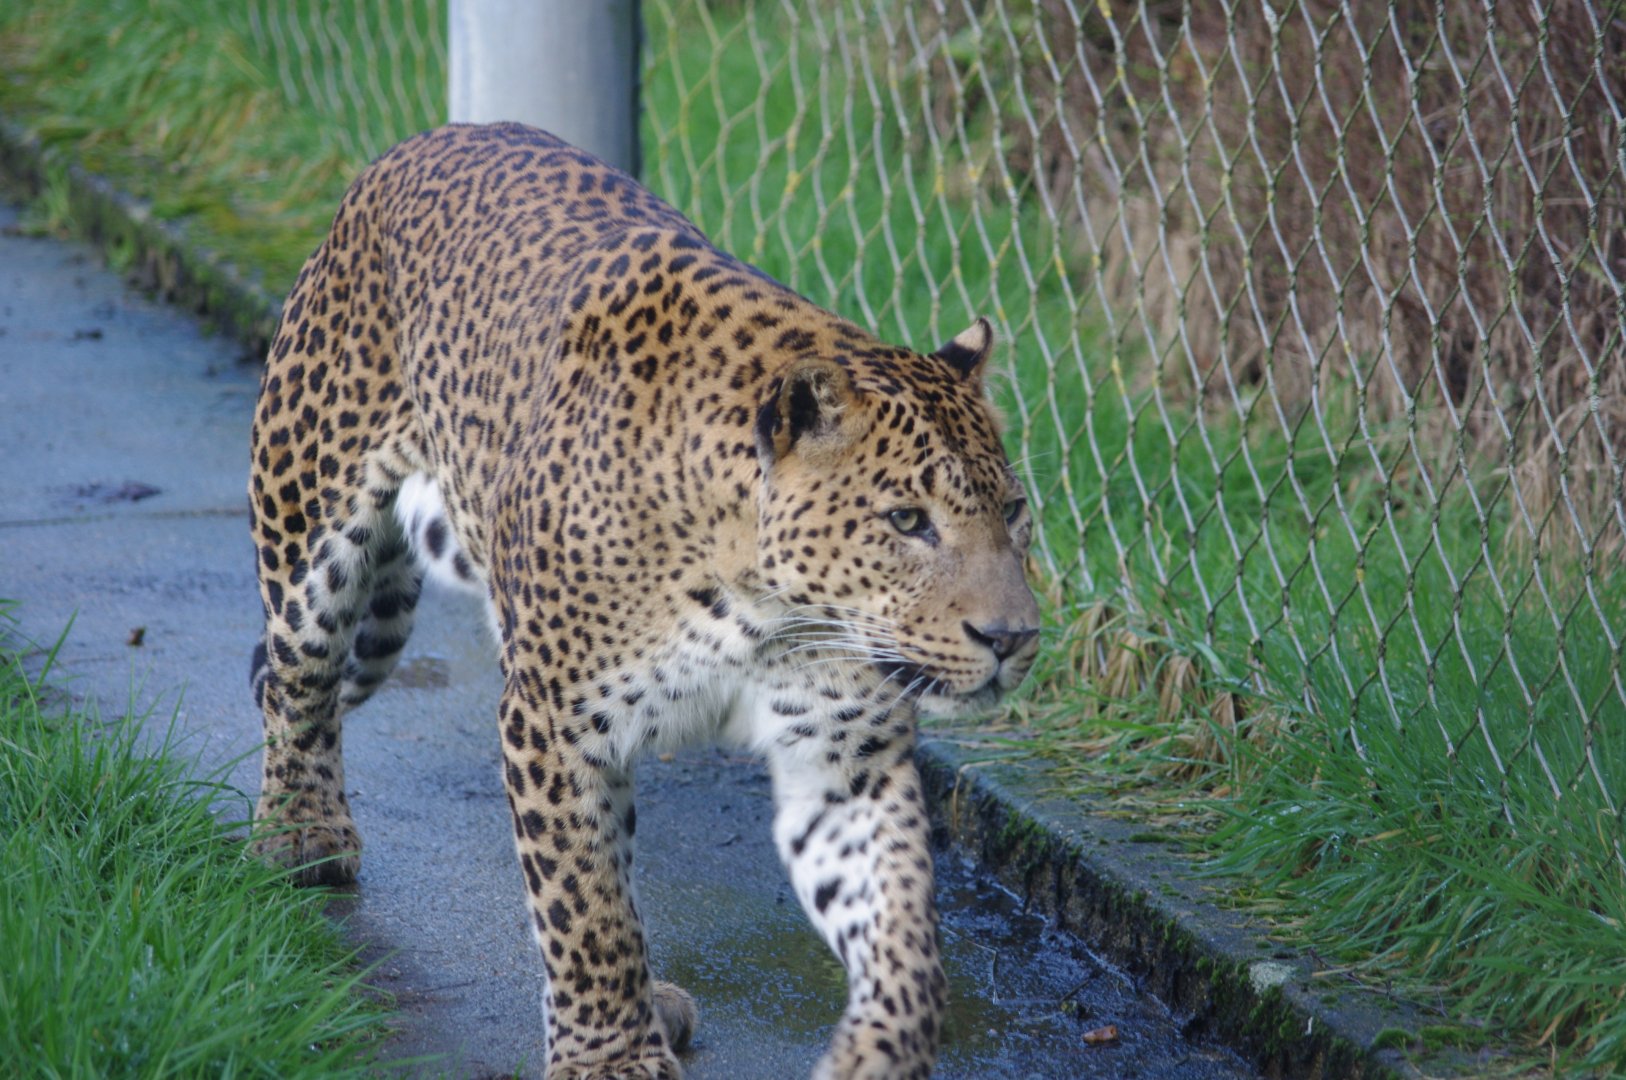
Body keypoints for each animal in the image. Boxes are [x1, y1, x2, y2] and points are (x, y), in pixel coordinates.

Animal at [247, 122, 1040, 1080]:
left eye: (1013, 511)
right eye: (907, 521)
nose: (1012, 637)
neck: (760, 600)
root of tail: (432, 139)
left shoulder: (844, 750)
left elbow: (903, 931)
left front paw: (876, 1055)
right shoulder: (552, 717)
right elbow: (582, 907)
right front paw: (609, 1057)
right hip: (308, 520)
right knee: (298, 679)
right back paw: (301, 834)